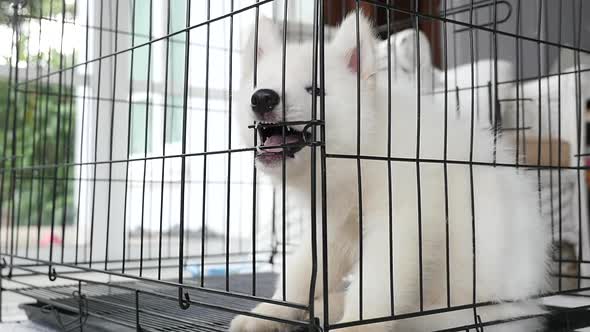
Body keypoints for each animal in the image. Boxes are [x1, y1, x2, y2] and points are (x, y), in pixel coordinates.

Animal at [230, 12, 552, 332]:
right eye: (259, 85)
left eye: (315, 90)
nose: (262, 98)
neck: (359, 155)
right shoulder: (331, 225)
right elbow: (303, 271)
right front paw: (270, 312)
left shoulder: (402, 221)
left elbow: (376, 282)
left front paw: (357, 325)